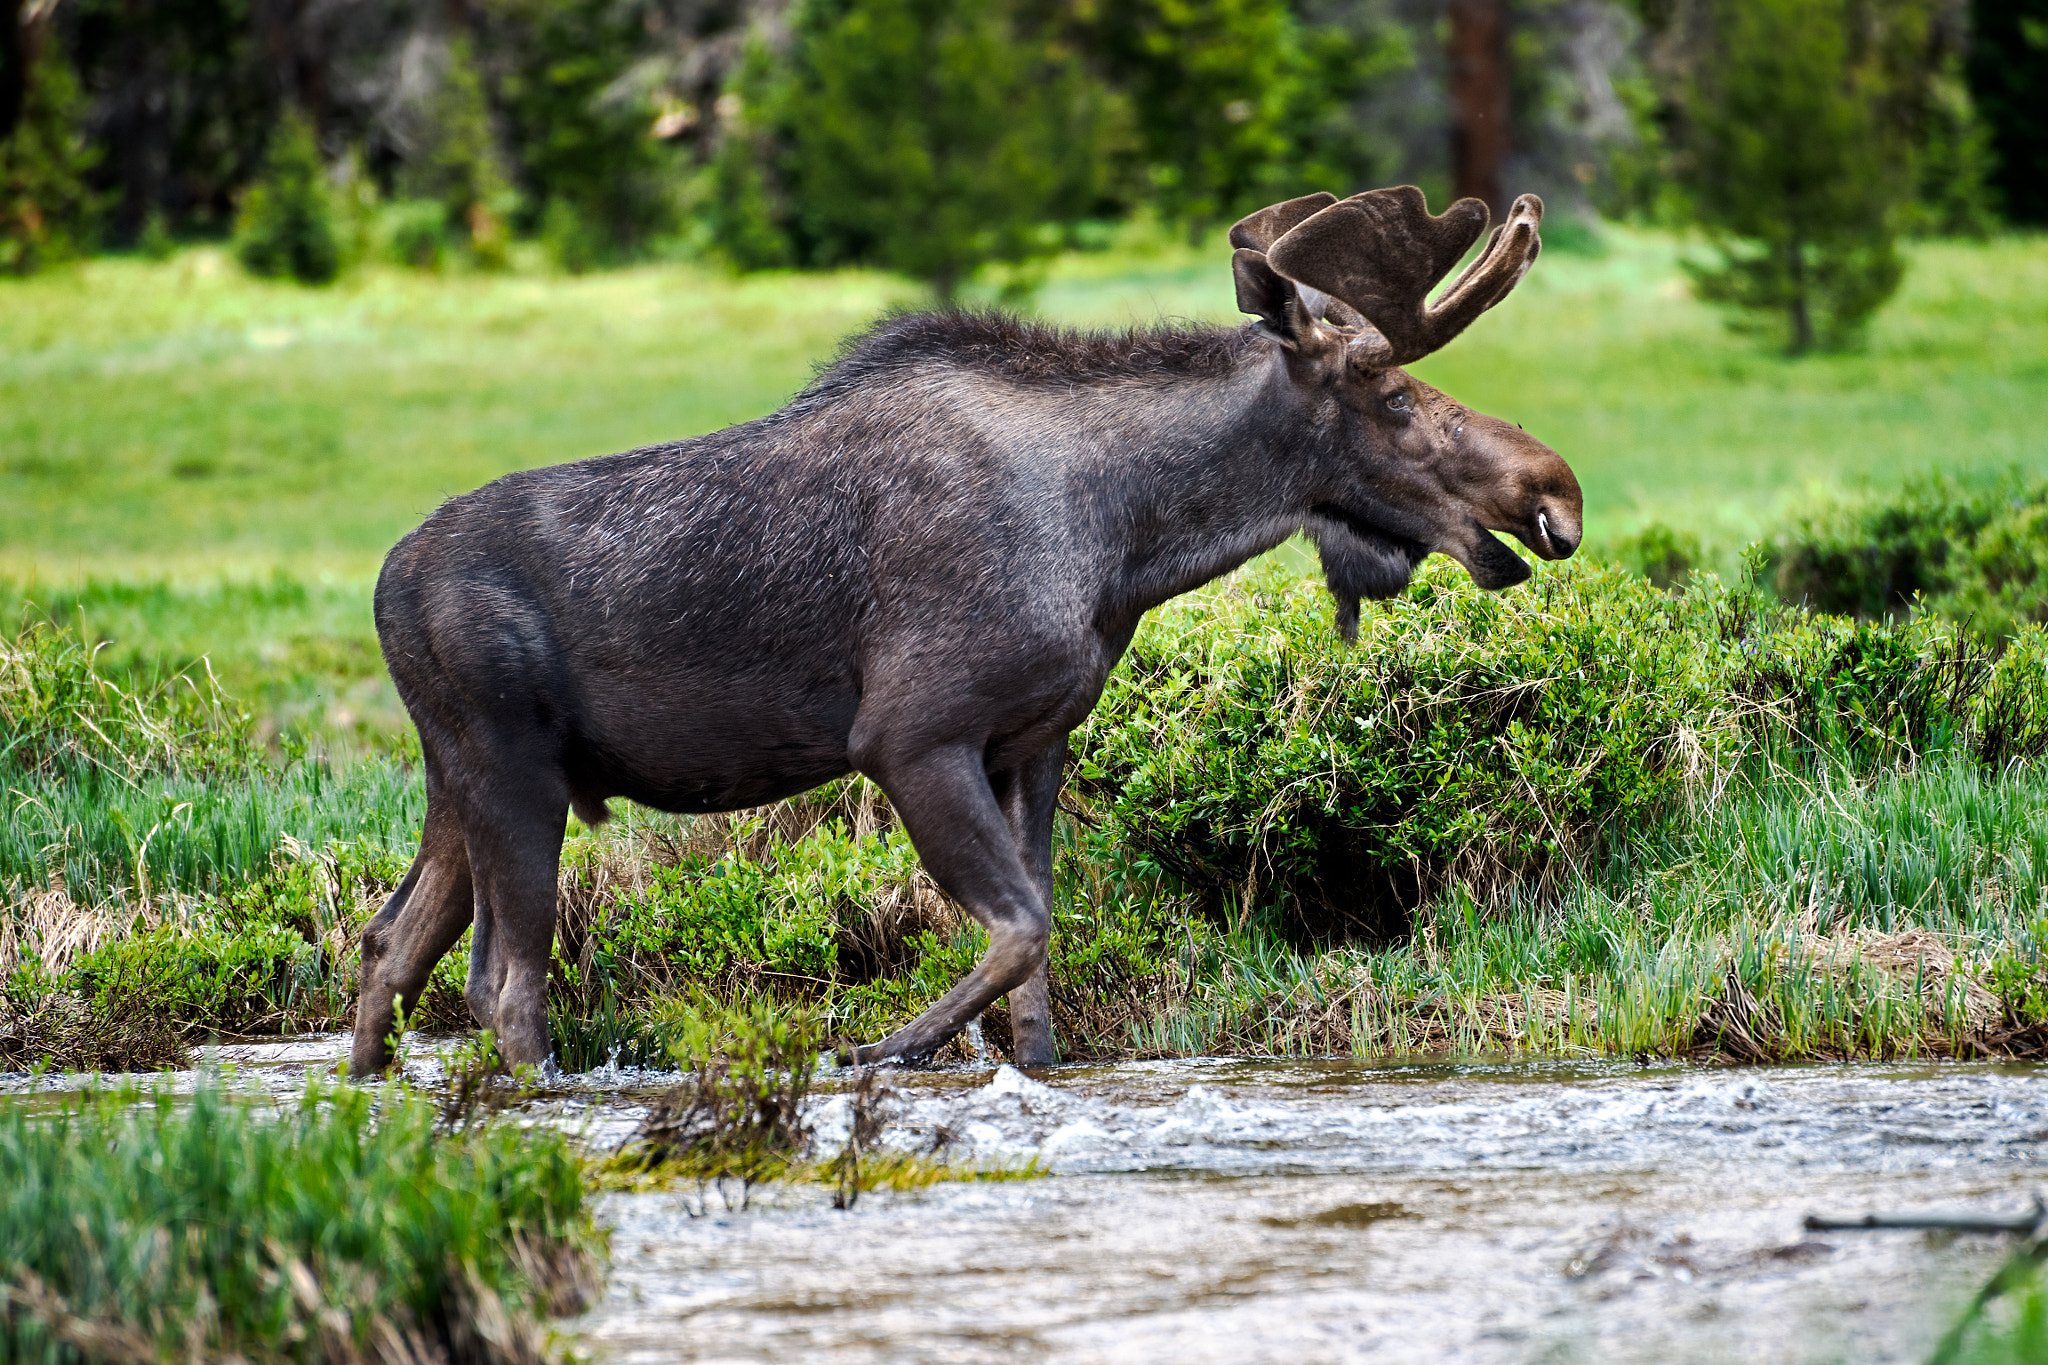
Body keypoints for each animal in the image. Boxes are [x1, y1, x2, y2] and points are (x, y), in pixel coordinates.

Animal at [350, 185, 1582, 1078]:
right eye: (1394, 397)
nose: (1552, 491)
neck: (1126, 538)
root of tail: (383, 585)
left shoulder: (1033, 743)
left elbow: (1038, 976)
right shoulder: (911, 734)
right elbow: (1019, 930)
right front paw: (874, 1046)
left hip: (465, 776)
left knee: (388, 946)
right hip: (513, 768)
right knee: (503, 988)